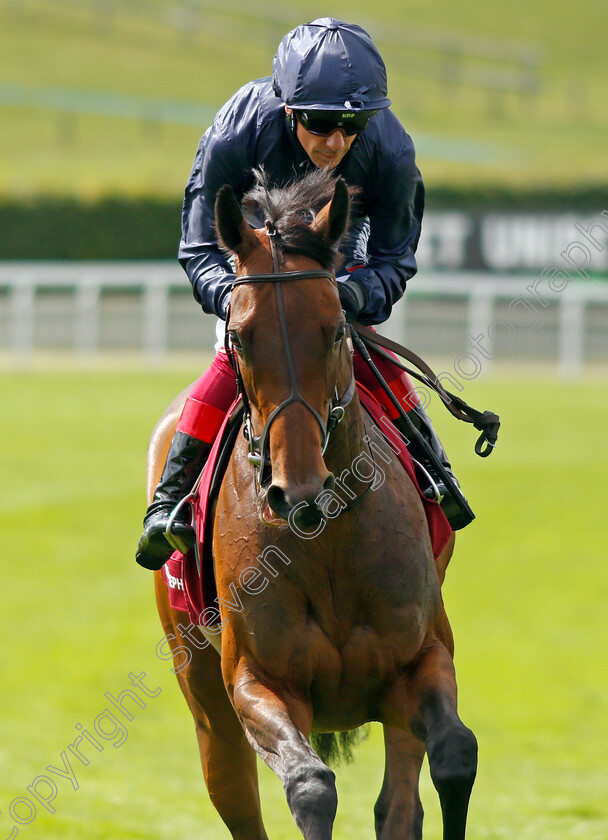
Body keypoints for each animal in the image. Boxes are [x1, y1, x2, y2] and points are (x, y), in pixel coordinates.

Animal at [150, 171, 478, 840]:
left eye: (335, 328)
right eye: (240, 336)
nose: (297, 490)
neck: (324, 538)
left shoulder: (421, 657)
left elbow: (456, 754)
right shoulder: (257, 680)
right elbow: (309, 785)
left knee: (400, 804)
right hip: (203, 694)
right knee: (235, 791)